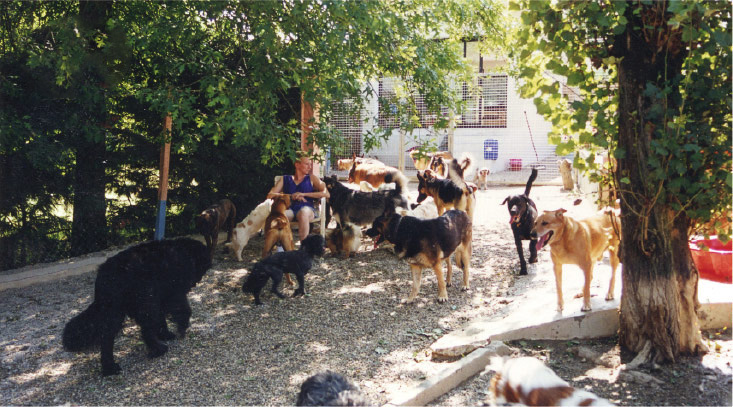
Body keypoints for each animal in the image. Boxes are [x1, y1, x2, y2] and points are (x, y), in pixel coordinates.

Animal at [61, 239, 210, 376]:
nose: (195, 283)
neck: (186, 253)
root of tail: (105, 275)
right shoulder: (174, 292)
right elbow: (183, 310)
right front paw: (181, 328)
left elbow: (162, 318)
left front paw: (166, 334)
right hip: (142, 303)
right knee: (145, 329)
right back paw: (158, 349)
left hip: (115, 311)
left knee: (107, 337)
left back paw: (109, 367)